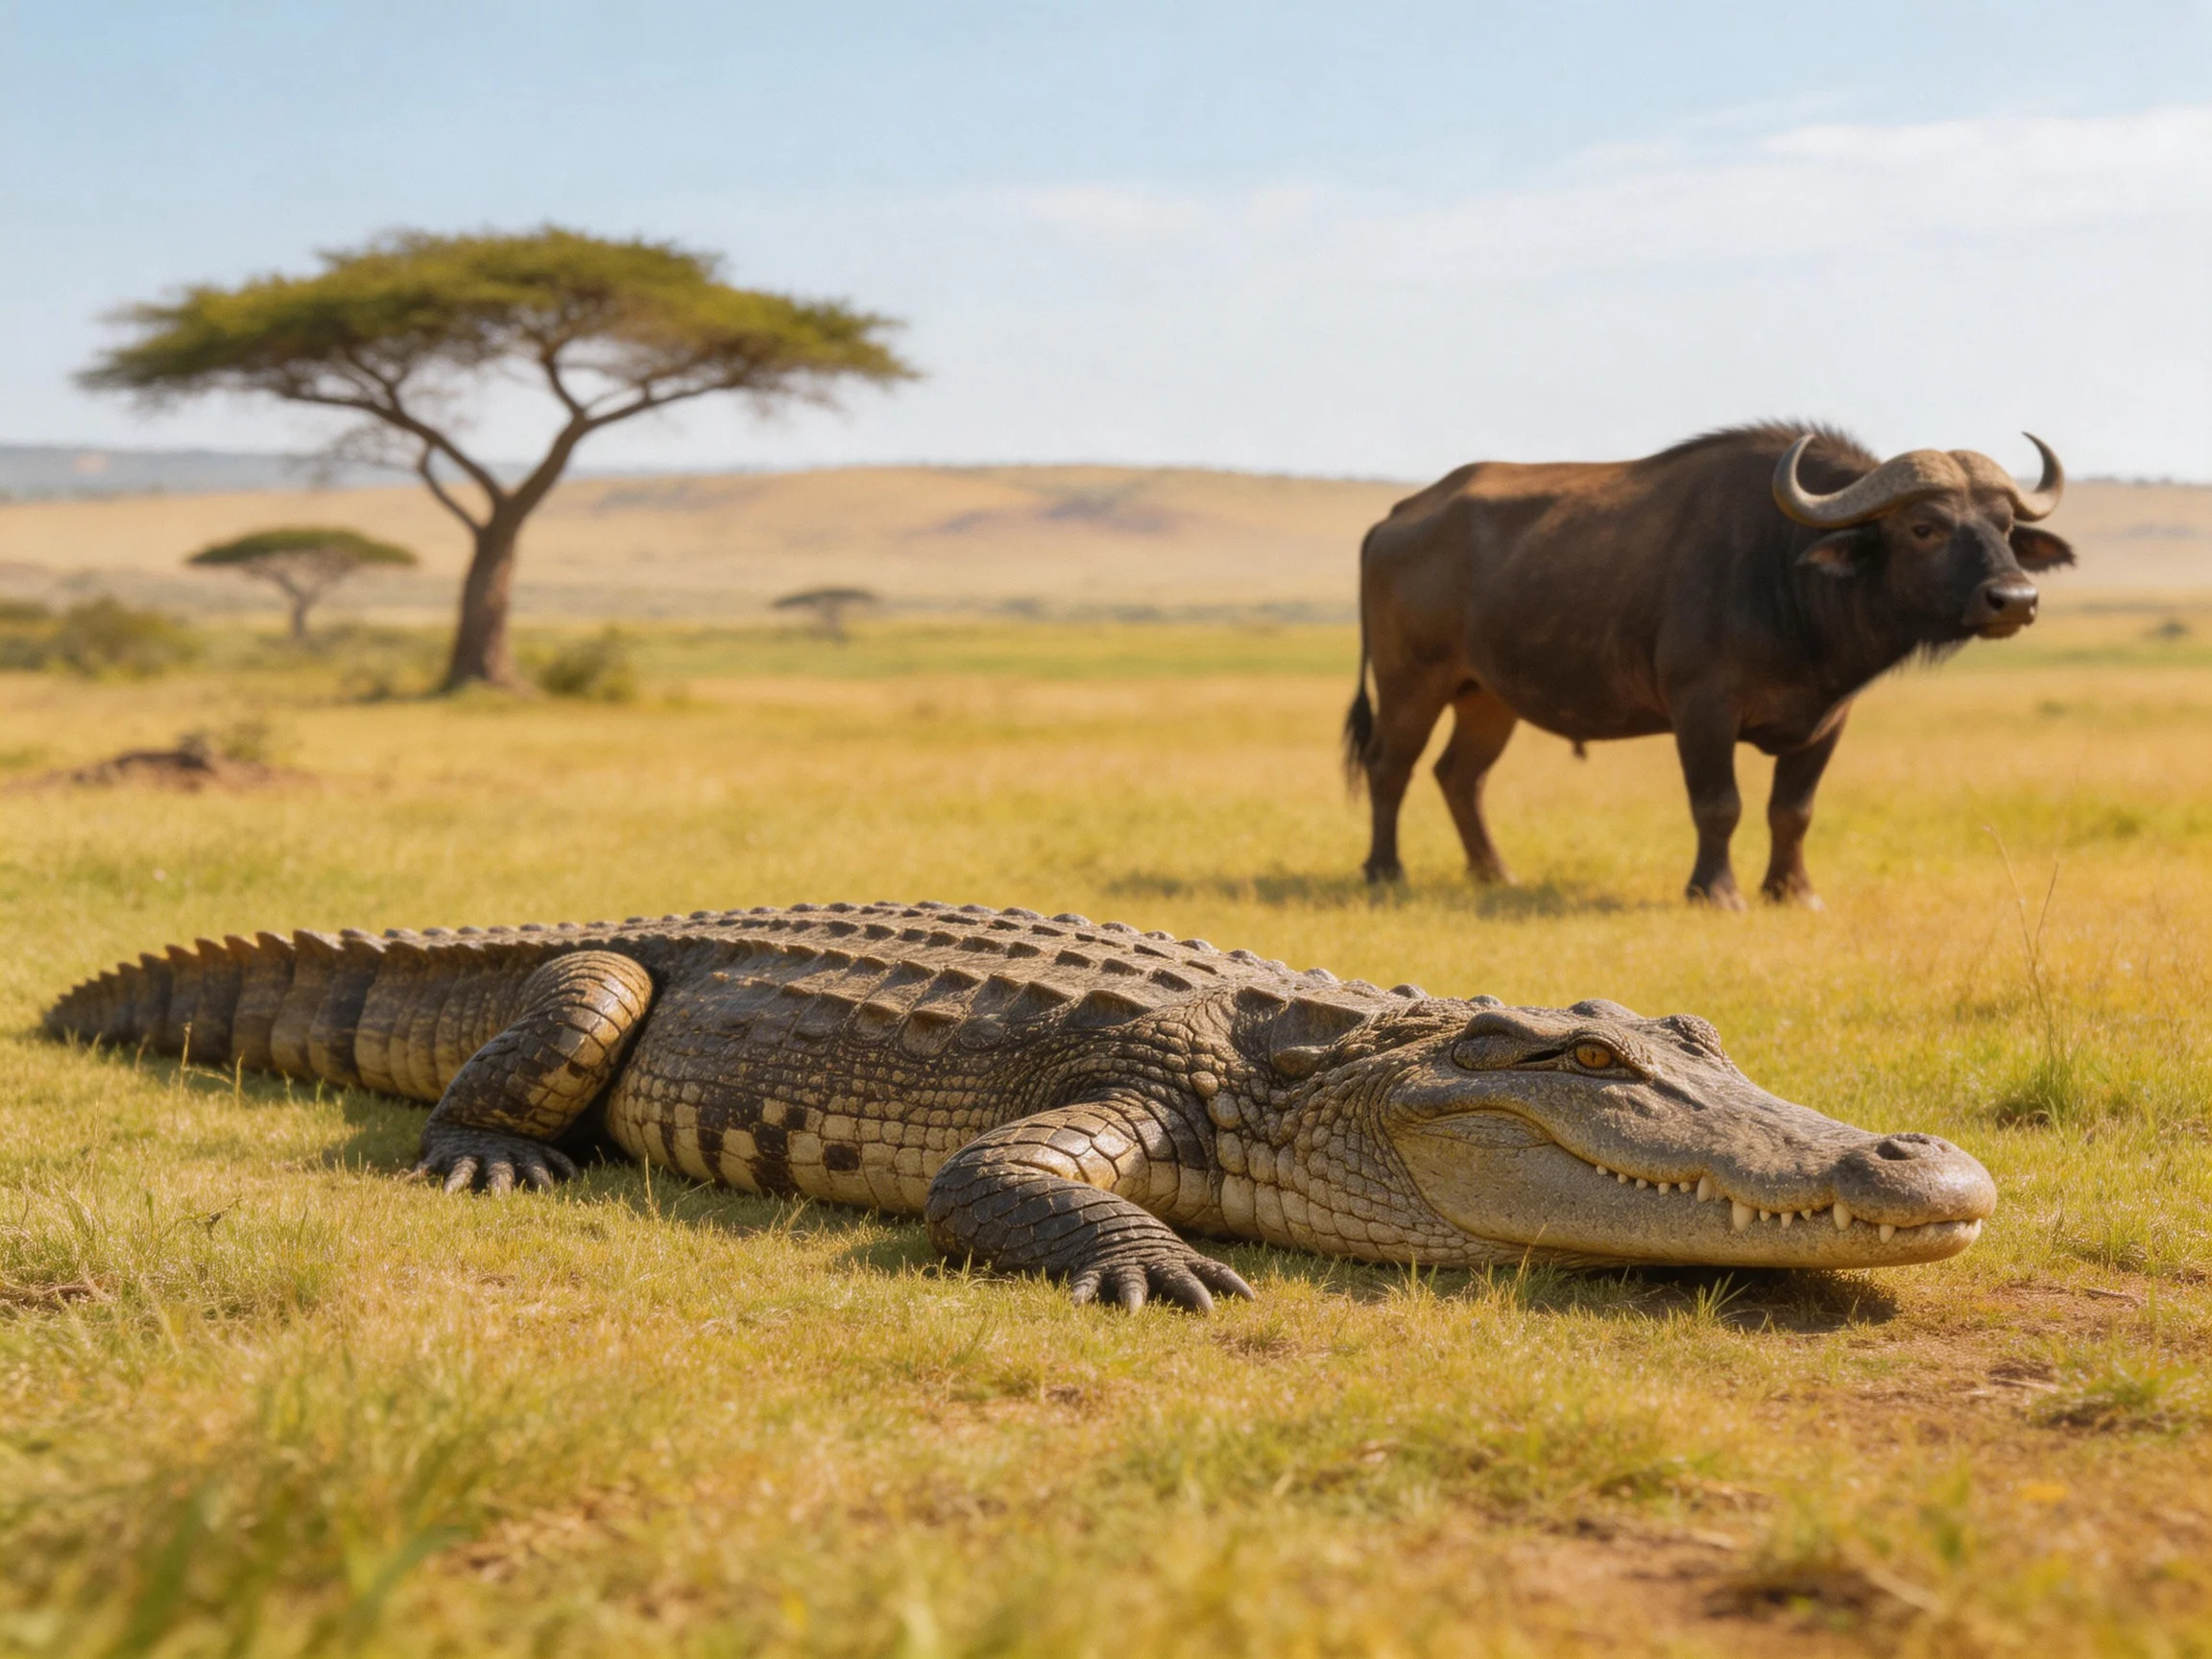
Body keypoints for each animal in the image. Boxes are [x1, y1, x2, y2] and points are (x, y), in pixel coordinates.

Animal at [1344, 424, 2072, 907]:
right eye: (1925, 527)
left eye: (2006, 526)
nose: (2015, 599)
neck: (1786, 572)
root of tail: (1397, 516)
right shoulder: (1702, 709)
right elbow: (1719, 804)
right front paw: (1716, 891)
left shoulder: (1829, 720)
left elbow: (1793, 810)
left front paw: (1792, 890)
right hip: (1411, 682)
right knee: (1390, 767)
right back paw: (1384, 870)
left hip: (1488, 697)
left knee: (1460, 776)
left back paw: (1494, 872)